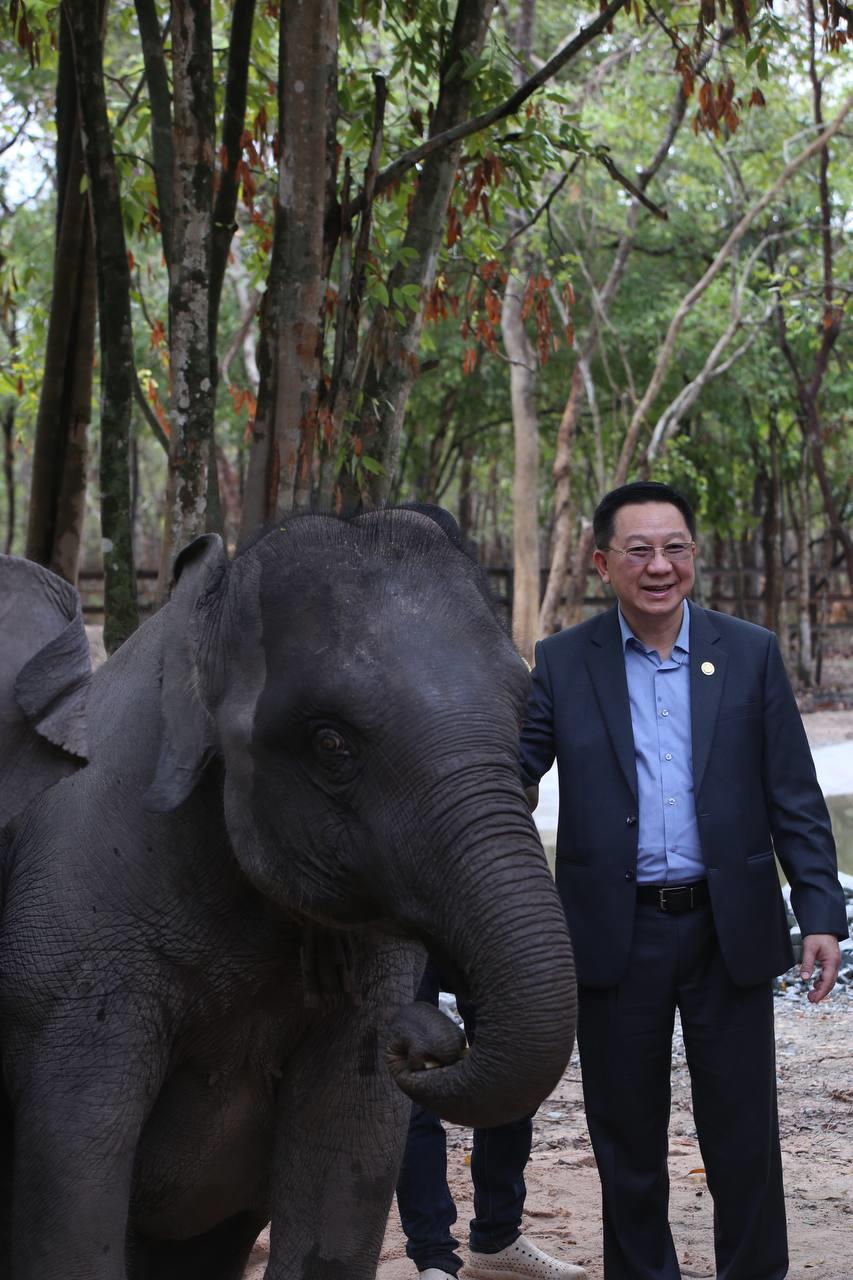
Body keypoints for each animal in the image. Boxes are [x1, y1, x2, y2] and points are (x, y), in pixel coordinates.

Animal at [0, 508, 577, 1280]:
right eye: (331, 743)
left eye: (523, 721)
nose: (425, 1036)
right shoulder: (67, 966)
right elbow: (74, 1185)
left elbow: (346, 1155)